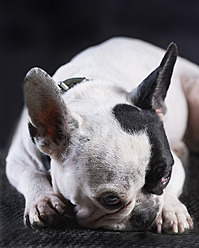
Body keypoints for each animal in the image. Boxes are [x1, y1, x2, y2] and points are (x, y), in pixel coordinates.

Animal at [6, 36, 199, 232]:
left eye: (165, 178)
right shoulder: (17, 160)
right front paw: (42, 201)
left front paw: (170, 209)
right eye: (110, 199)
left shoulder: (175, 166)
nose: (148, 214)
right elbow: (30, 174)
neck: (92, 95)